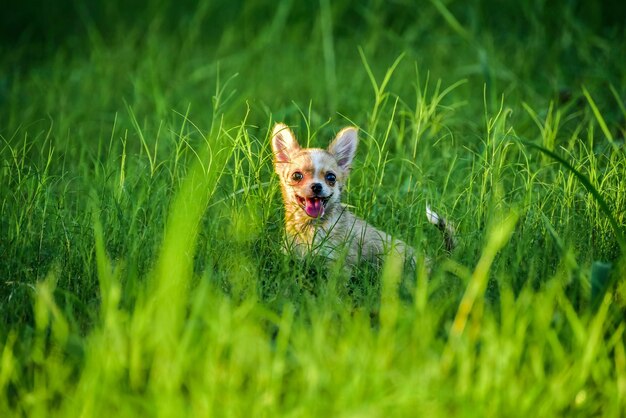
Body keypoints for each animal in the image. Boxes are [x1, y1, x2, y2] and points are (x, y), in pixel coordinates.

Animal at [270, 122, 454, 272]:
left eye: (331, 178)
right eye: (297, 176)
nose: (317, 186)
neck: (311, 227)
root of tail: (436, 263)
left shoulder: (337, 265)